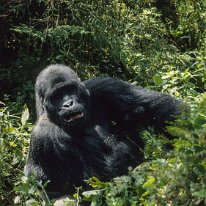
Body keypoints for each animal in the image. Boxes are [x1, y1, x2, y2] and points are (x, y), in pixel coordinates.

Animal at [24, 64, 182, 198]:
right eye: (56, 96)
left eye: (69, 89)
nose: (68, 104)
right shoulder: (44, 136)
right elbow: (101, 178)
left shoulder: (101, 86)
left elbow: (156, 108)